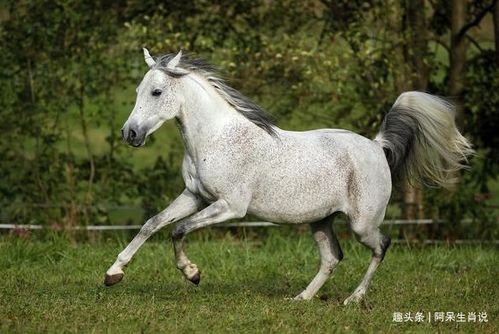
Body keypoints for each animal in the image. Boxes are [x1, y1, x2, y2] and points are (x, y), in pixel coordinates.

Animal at [104, 48, 472, 304]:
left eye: (156, 92)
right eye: (137, 91)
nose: (130, 134)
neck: (216, 137)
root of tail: (377, 146)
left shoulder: (230, 206)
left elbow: (178, 230)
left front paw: (192, 274)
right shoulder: (194, 196)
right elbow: (152, 224)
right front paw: (113, 273)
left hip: (362, 223)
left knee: (381, 245)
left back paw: (354, 299)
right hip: (320, 220)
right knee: (332, 257)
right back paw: (302, 298)